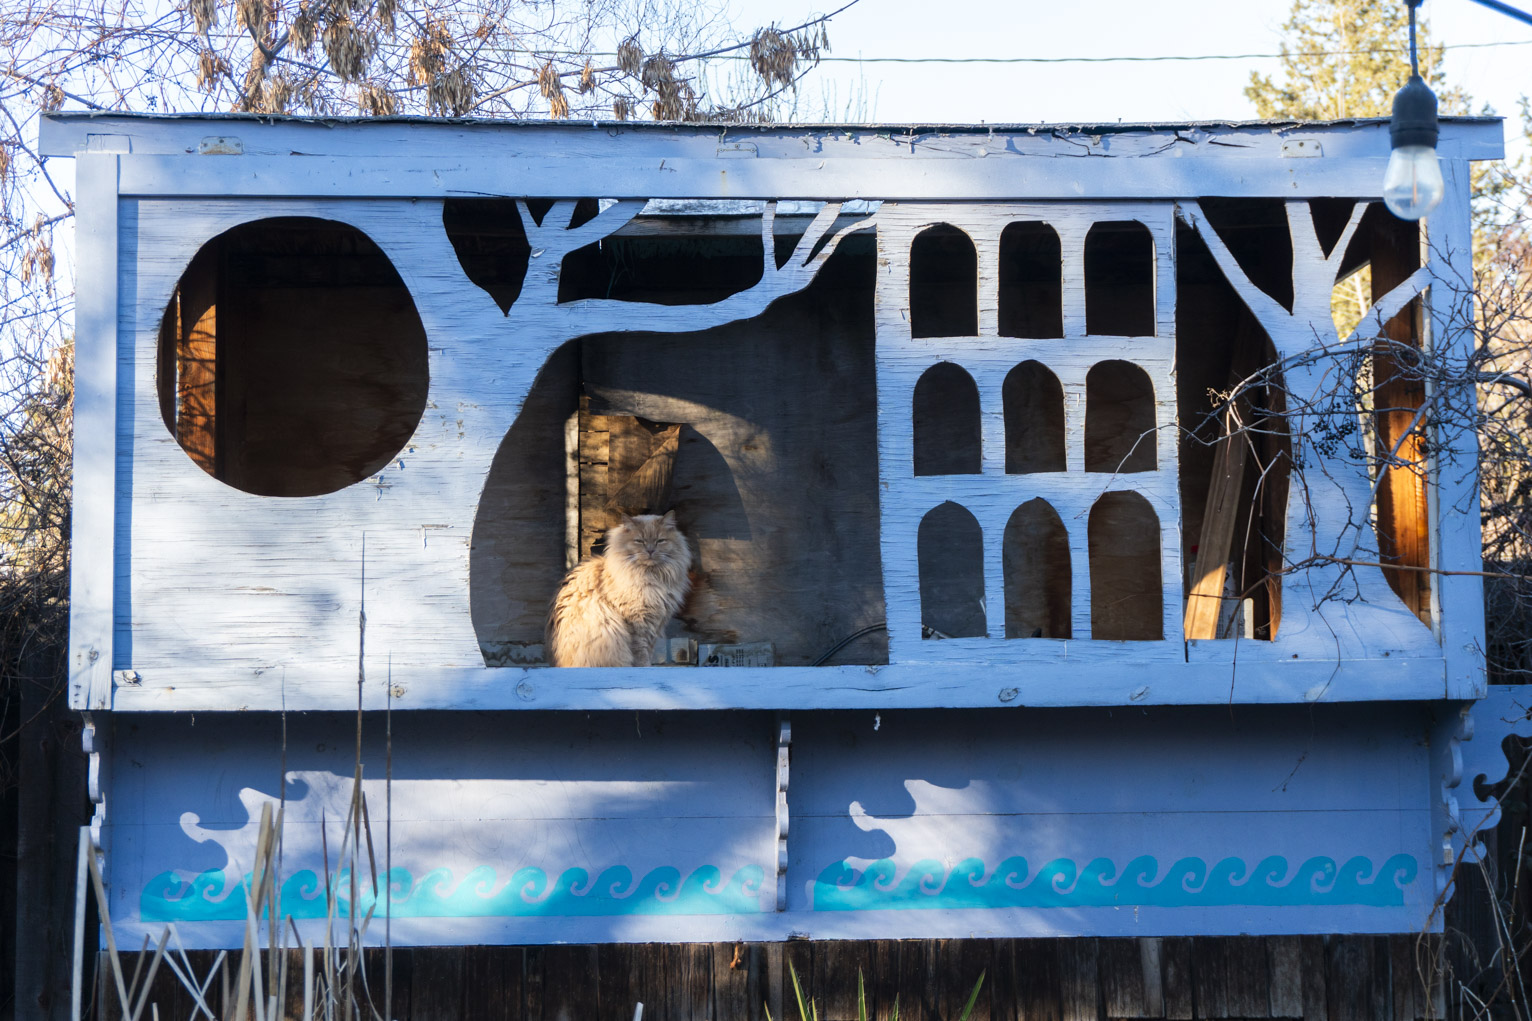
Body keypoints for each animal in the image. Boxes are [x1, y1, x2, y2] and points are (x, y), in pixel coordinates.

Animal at [545, 508, 695, 668]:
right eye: (639, 541)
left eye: (660, 541)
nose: (650, 550)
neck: (651, 577)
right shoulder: (637, 622)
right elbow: (641, 653)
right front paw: (644, 668)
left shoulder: (656, 623)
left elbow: (648, 651)